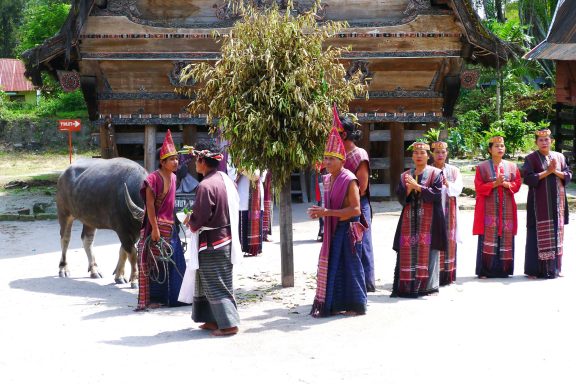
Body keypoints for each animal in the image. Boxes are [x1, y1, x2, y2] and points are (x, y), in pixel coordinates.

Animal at [56, 158, 146, 286]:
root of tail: (63, 174)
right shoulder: (123, 230)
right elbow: (132, 254)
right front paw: (134, 280)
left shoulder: (133, 232)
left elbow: (123, 251)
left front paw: (119, 276)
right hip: (64, 212)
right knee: (65, 238)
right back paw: (63, 269)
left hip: (89, 220)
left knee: (87, 239)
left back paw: (94, 270)